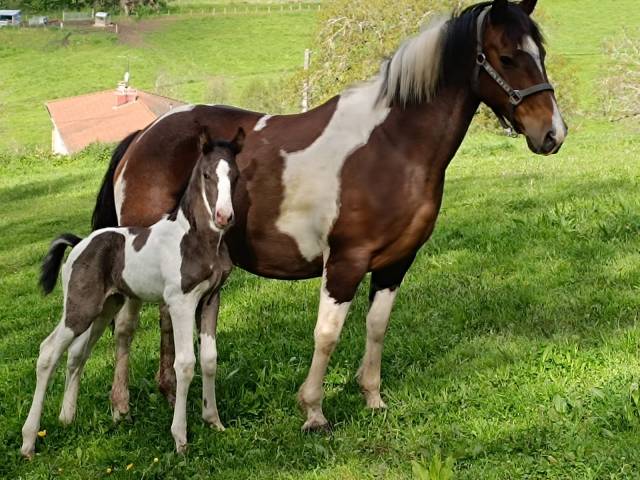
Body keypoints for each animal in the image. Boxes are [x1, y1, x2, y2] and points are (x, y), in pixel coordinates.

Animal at [21, 128, 244, 457]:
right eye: (206, 174)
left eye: (236, 175)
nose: (224, 217)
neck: (195, 239)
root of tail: (79, 243)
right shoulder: (180, 302)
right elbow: (185, 364)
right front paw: (180, 438)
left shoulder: (210, 298)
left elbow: (209, 359)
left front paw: (213, 420)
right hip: (80, 307)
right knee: (48, 351)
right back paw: (28, 441)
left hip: (106, 307)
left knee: (77, 352)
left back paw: (66, 417)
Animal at [91, 0, 567, 432]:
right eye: (507, 57)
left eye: (540, 53)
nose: (553, 134)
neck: (393, 147)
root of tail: (143, 136)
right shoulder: (345, 261)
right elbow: (327, 333)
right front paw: (313, 410)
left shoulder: (396, 262)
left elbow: (377, 326)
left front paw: (372, 397)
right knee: (126, 325)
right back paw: (121, 406)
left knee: (165, 319)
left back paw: (170, 392)